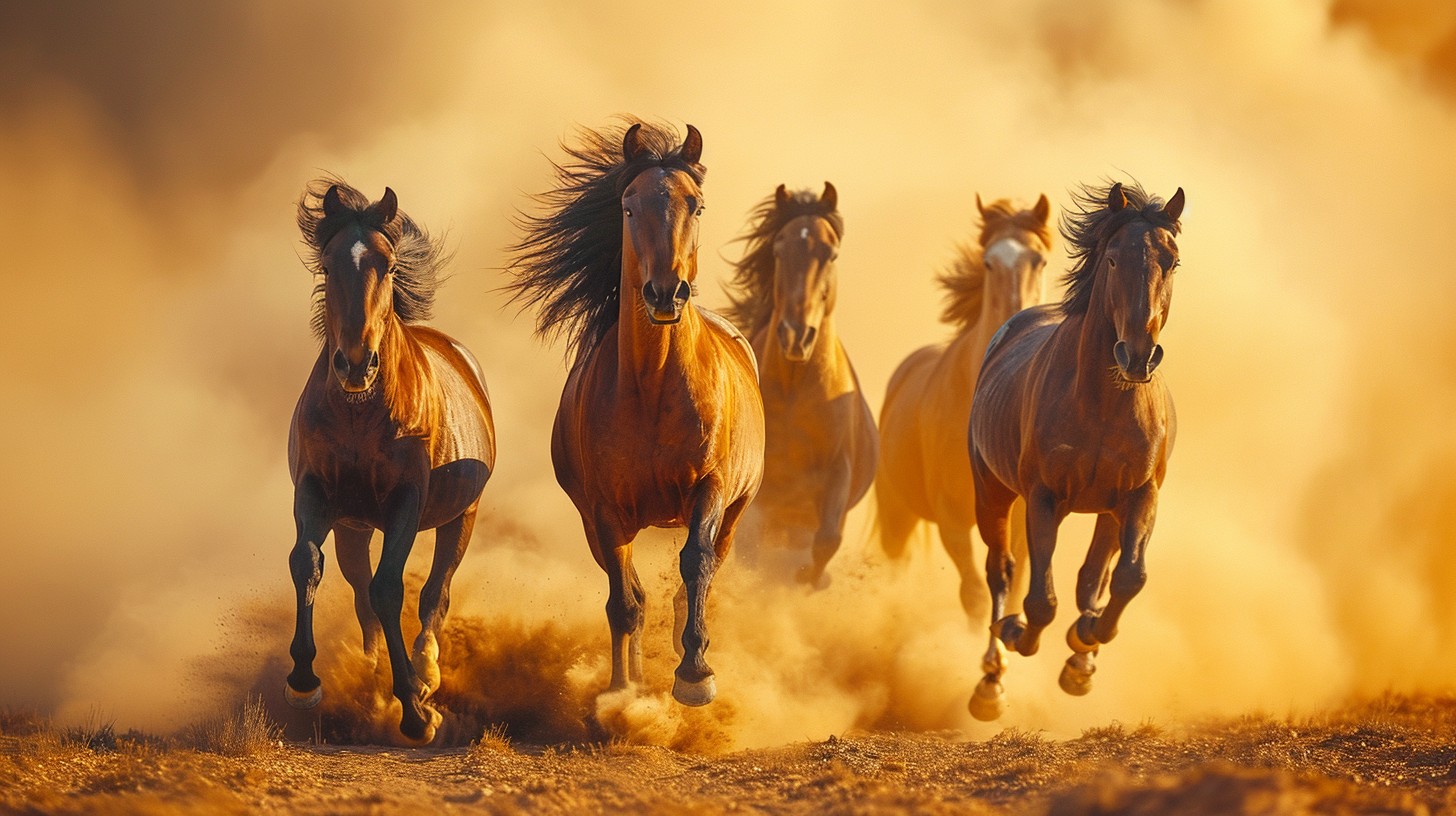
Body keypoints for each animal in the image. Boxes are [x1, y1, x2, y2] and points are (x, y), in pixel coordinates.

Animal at [285, 179, 496, 744]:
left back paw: (425, 674)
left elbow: (390, 589)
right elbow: (307, 564)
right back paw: (373, 669)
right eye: (328, 263)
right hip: (354, 529)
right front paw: (303, 679)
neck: (360, 412)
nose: (356, 364)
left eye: (390, 264)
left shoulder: (407, 499)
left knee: (434, 596)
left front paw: (416, 711)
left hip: (459, 518)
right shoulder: (316, 493)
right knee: (361, 596)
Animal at [506, 122, 764, 707]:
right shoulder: (603, 510)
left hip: (736, 510)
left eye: (697, 205)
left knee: (703, 570)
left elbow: (695, 563)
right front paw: (623, 693)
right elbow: (624, 603)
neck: (651, 389)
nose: (666, 293)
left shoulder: (711, 486)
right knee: (634, 596)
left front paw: (695, 675)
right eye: (628, 206)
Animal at [723, 182, 877, 587]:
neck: (795, 391)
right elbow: (747, 551)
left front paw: (809, 580)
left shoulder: (838, 470)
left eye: (831, 253)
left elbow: (827, 540)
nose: (796, 335)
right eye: (779, 249)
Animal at [875, 195, 1052, 616]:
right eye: (988, 262)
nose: (1019, 321)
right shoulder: (952, 517)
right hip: (895, 513)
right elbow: (974, 593)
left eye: (1039, 260)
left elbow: (1015, 583)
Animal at [966, 181, 1184, 720]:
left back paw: (1080, 656)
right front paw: (1018, 632)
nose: (1138, 355)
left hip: (1107, 509)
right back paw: (991, 680)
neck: (1103, 401)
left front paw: (1084, 643)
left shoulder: (1140, 496)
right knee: (1001, 572)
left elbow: (1127, 578)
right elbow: (1040, 599)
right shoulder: (1044, 497)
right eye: (1112, 257)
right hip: (992, 492)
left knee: (1094, 576)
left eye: (1172, 260)